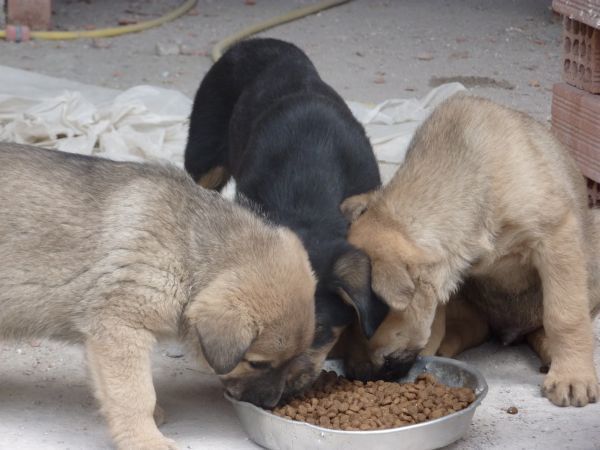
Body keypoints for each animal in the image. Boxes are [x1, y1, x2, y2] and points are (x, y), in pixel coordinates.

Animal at [0, 143, 316, 446]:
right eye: (256, 363)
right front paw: (146, 439)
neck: (189, 252)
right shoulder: (120, 328)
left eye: (292, 360)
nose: (271, 403)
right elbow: (135, 394)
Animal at [342, 95, 600, 408]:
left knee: (544, 325)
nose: (353, 374)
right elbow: (433, 326)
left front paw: (573, 376)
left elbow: (565, 315)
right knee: (472, 327)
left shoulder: (556, 237)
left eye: (358, 319)